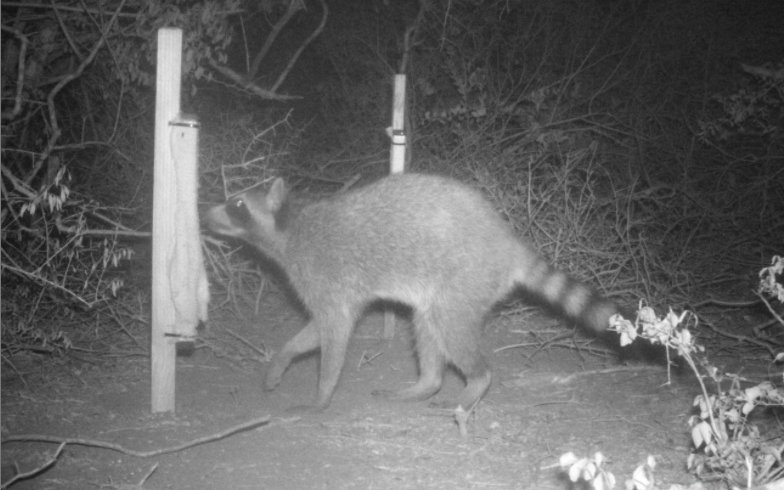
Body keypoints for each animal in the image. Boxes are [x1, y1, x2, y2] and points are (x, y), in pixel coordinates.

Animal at [204, 174, 620, 412]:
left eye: (237, 204)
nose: (204, 215)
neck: (289, 228)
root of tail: (507, 242)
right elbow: (313, 333)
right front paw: (282, 359)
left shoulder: (325, 277)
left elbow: (333, 335)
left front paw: (321, 396)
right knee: (426, 325)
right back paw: (426, 383)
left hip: (465, 277)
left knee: (449, 328)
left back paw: (476, 380)